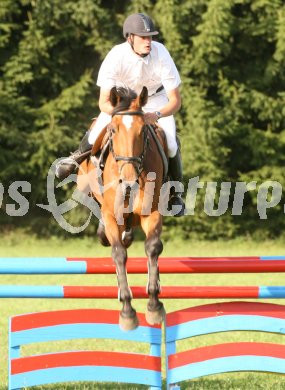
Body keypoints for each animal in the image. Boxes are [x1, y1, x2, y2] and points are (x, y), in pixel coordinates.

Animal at [77, 87, 166, 330]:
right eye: (113, 130)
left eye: (142, 130)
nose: (128, 178)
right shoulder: (111, 215)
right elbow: (118, 254)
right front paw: (127, 311)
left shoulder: (151, 213)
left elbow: (152, 248)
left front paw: (154, 305)